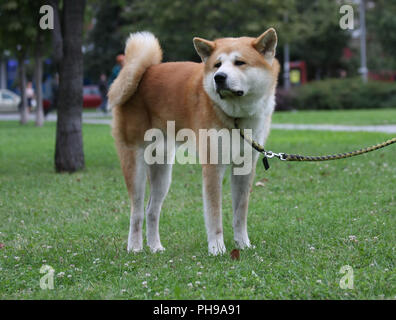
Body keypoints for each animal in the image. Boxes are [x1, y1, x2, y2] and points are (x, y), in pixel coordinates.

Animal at [109, 28, 278, 256]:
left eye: (240, 62)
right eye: (217, 65)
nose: (219, 77)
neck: (237, 117)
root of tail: (144, 71)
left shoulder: (244, 167)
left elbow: (240, 214)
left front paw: (243, 244)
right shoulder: (213, 166)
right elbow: (214, 216)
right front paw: (217, 248)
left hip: (162, 171)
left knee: (152, 210)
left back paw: (155, 247)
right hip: (135, 166)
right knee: (136, 211)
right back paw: (135, 247)